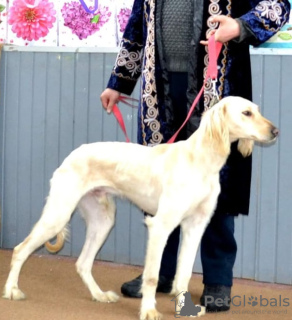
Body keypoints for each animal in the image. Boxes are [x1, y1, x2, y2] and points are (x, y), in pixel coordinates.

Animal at [2, 97, 278, 320]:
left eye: (257, 110)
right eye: (246, 113)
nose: (276, 131)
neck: (200, 161)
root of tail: (71, 155)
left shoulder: (195, 227)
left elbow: (184, 275)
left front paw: (184, 309)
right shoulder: (160, 226)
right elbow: (153, 275)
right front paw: (148, 310)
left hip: (103, 220)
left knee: (82, 263)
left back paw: (99, 295)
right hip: (58, 215)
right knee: (20, 250)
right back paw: (12, 290)